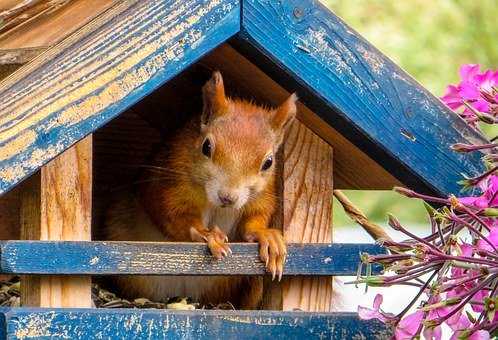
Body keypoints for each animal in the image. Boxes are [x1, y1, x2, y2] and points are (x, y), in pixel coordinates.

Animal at [101, 71, 296, 308]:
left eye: (268, 162)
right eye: (206, 146)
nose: (227, 197)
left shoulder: (262, 197)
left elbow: (253, 221)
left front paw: (267, 237)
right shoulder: (169, 185)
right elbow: (174, 217)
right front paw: (206, 233)